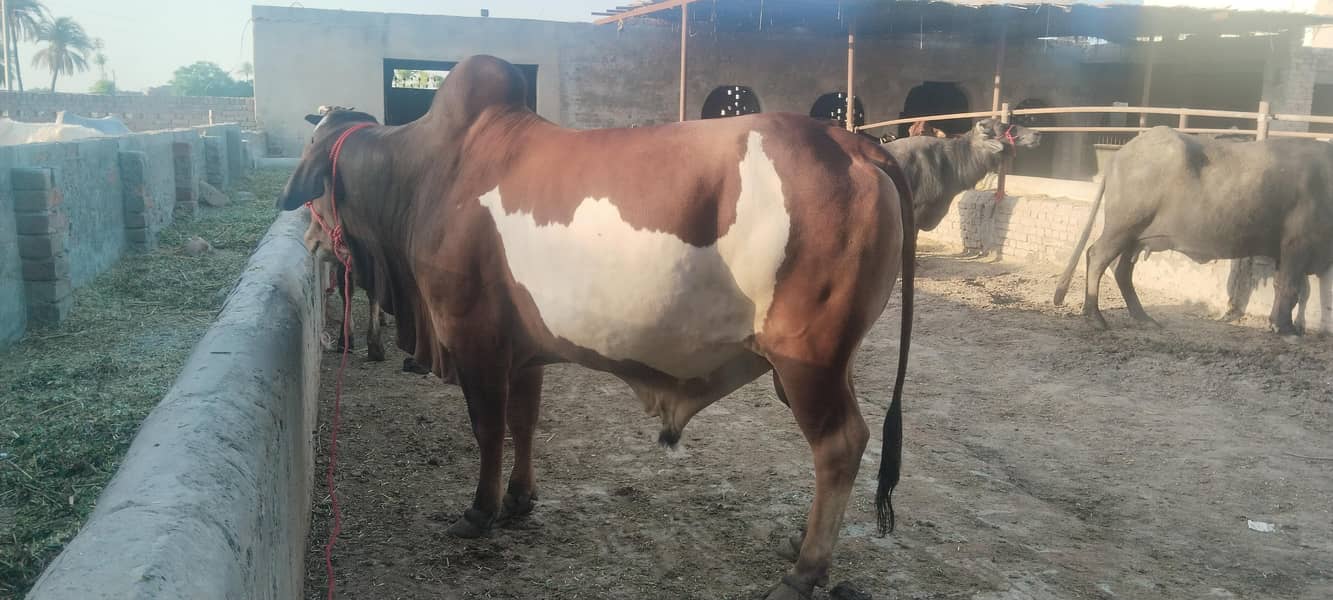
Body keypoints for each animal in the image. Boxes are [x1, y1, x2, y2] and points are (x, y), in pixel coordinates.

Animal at [277, 55, 916, 599]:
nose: (307, 238)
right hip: (832, 361)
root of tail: (852, 143)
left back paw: (804, 571)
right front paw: (519, 499)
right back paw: (799, 543)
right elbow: (523, 423)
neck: (425, 174)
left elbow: (488, 428)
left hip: (808, 360)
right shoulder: (522, 351)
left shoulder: (475, 338)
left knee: (839, 445)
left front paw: (480, 511)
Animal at [1053, 126, 1333, 335]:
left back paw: (1144, 318)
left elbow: (1286, 286)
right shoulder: (1298, 244)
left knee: (1121, 270)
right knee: (1097, 257)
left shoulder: (1284, 251)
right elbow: (1292, 288)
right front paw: (1286, 329)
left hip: (1135, 237)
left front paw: (1279, 324)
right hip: (1122, 226)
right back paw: (1095, 318)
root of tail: (1121, 154)